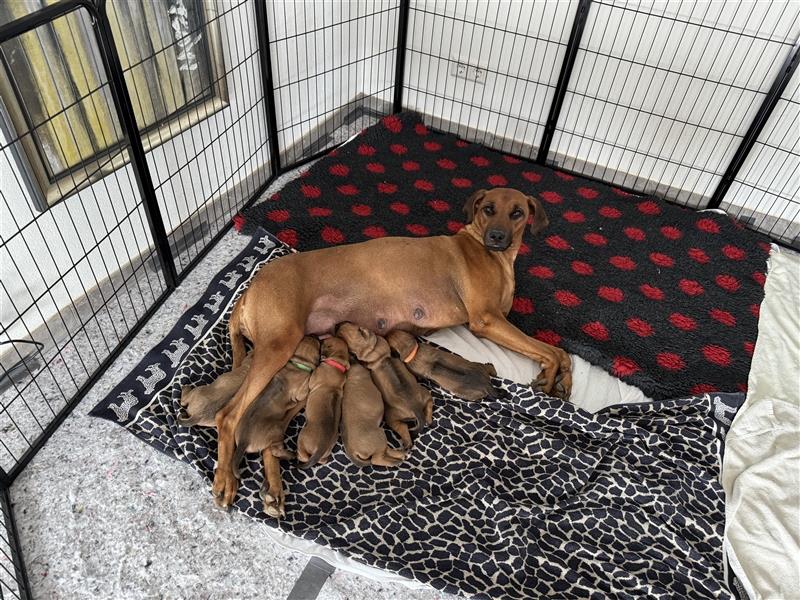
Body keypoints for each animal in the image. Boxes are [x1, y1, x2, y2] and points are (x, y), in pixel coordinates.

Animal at [228, 336, 318, 516]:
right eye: (319, 345)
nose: (318, 337)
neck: (297, 364)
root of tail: (244, 441)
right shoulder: (301, 391)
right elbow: (304, 391)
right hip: (276, 432)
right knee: (275, 450)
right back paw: (291, 454)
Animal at [292, 338, 346, 468]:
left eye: (324, 342)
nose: (320, 339)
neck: (337, 364)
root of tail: (320, 448)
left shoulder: (313, 379)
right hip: (327, 452)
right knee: (322, 461)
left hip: (302, 437)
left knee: (304, 456)